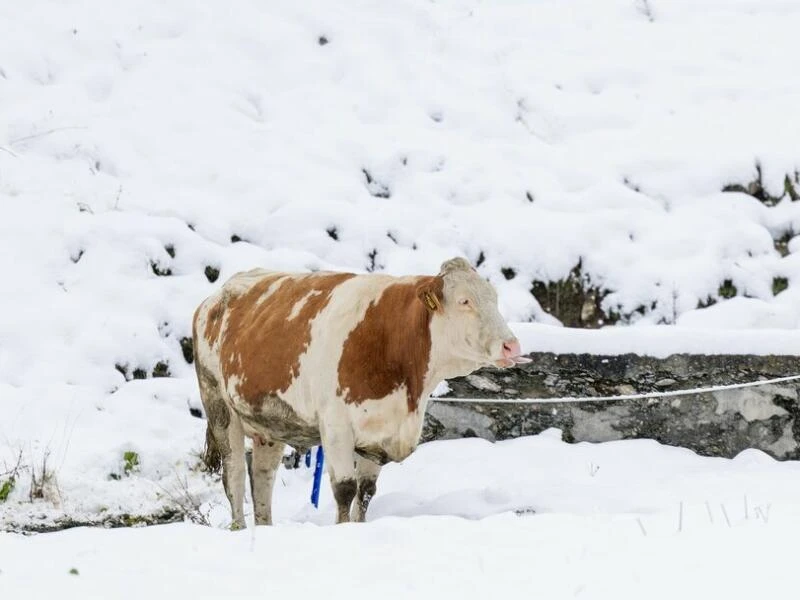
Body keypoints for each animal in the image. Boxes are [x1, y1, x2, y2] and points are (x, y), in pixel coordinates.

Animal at [191, 255, 528, 528]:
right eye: (464, 301)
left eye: (494, 299)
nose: (512, 346)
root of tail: (215, 297)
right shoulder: (336, 427)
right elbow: (345, 489)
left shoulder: (379, 430)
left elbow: (366, 492)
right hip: (219, 406)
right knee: (234, 475)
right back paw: (238, 528)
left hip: (269, 423)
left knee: (262, 476)